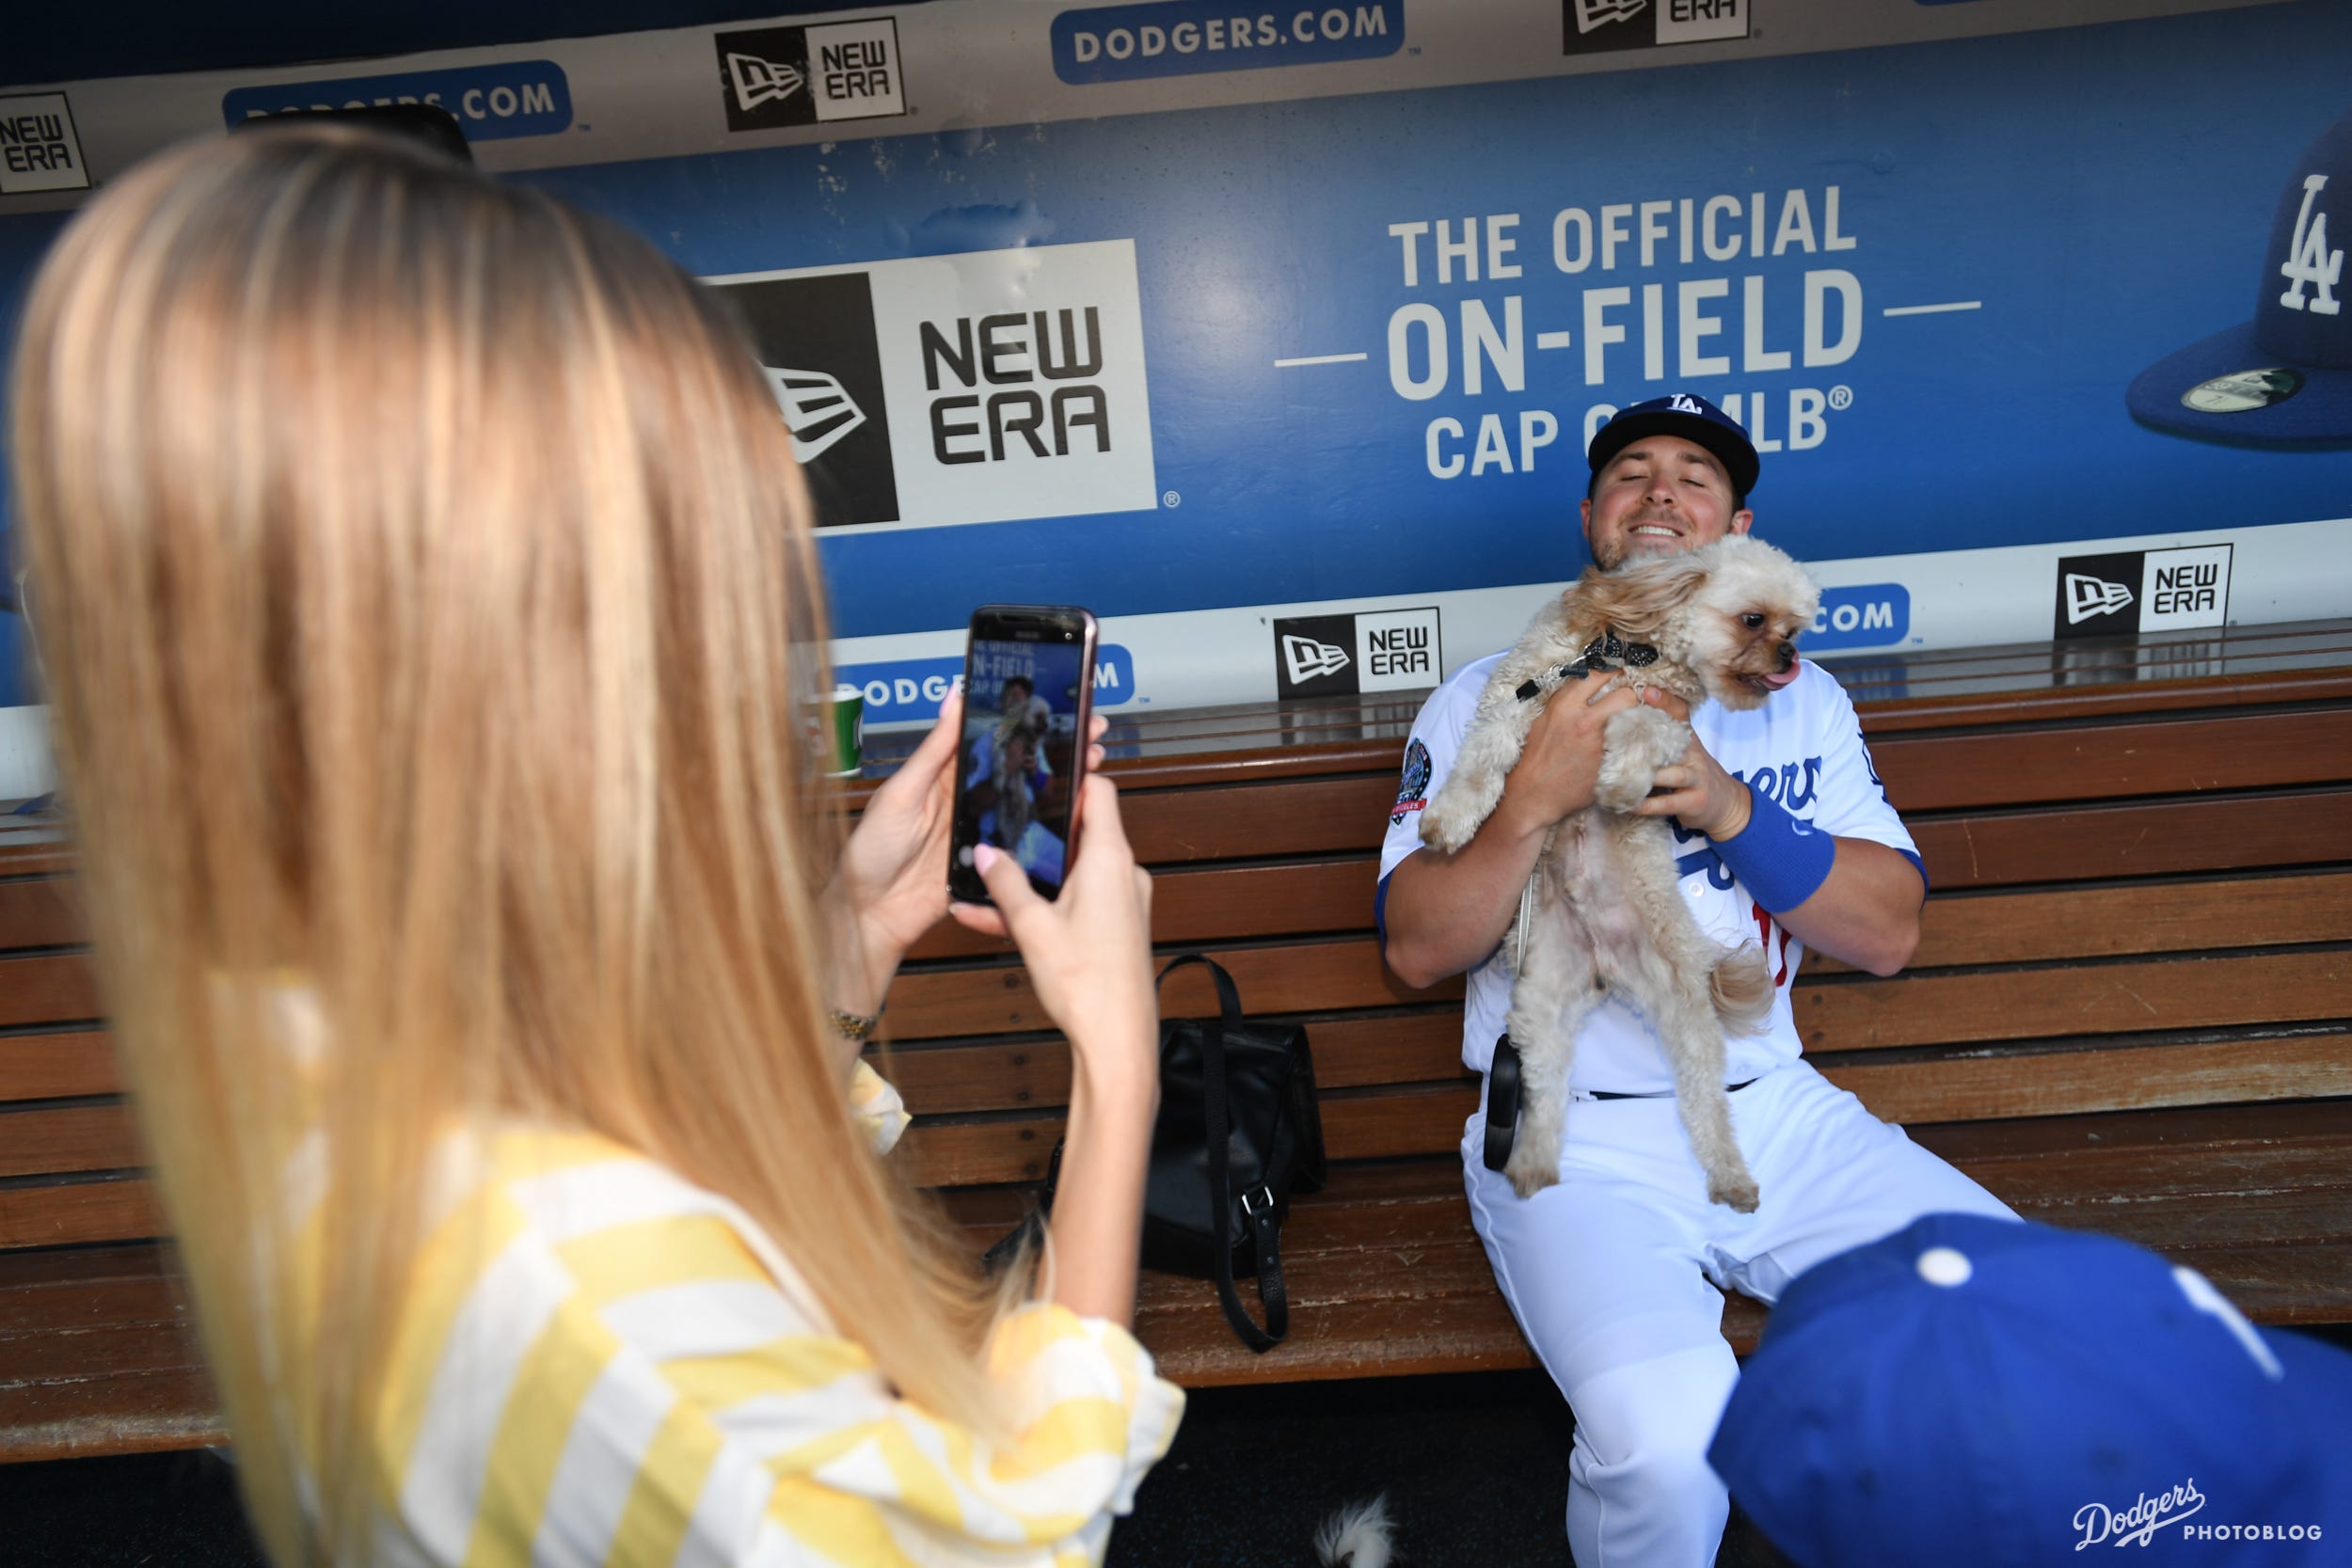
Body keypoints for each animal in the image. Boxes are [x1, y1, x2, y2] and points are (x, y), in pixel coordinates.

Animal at [1411, 533, 1816, 1212]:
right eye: (1753, 619)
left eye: (1795, 627)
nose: (1789, 655)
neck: (1632, 651)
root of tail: (1603, 965)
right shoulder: (1520, 693)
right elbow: (1483, 760)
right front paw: (1449, 818)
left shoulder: (1667, 722)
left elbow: (1640, 728)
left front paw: (1620, 782)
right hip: (1540, 1008)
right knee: (1546, 1091)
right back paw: (1533, 1165)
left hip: (1683, 1011)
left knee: (1706, 1103)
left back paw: (1730, 1177)